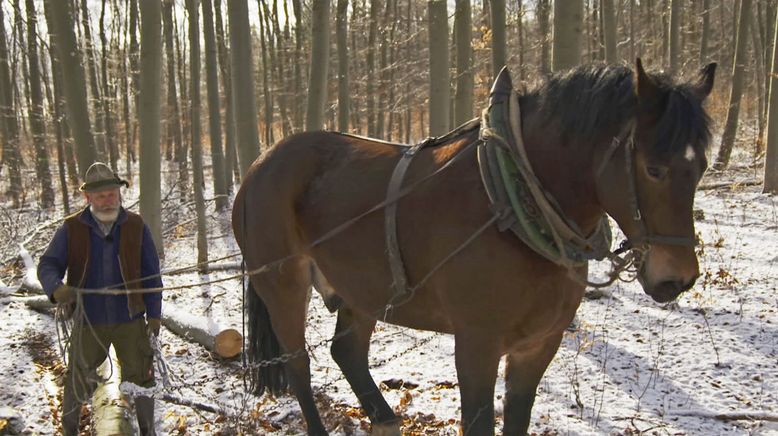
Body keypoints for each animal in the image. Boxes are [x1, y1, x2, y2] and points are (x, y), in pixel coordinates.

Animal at [232, 58, 716, 436]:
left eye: (702, 166)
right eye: (653, 168)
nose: (677, 277)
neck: (512, 198)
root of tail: (261, 163)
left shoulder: (538, 345)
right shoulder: (476, 344)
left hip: (363, 290)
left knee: (346, 353)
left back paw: (385, 419)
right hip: (283, 284)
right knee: (299, 364)